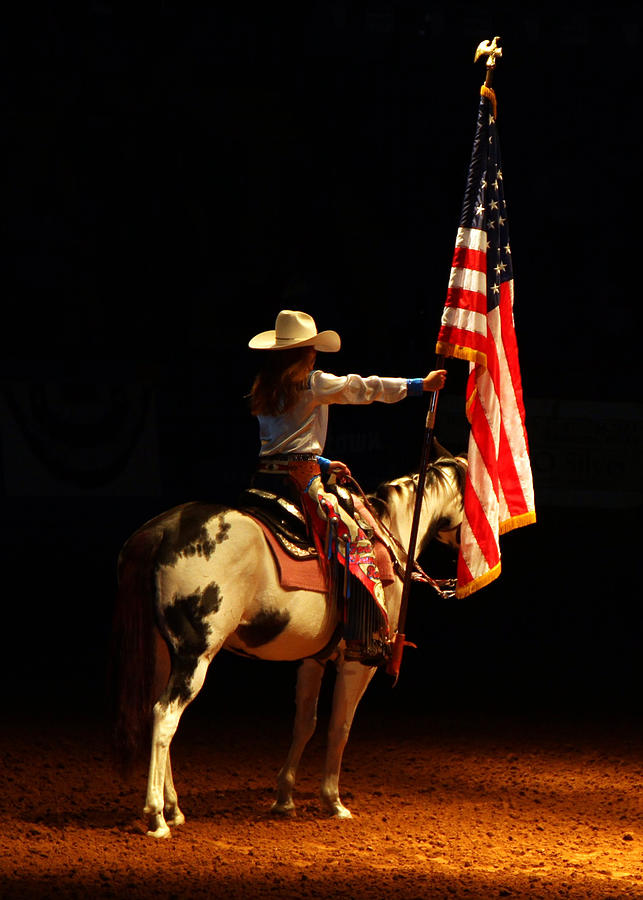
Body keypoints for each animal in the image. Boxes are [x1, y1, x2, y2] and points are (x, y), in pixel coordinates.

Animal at [110, 454, 466, 840]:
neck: (392, 534)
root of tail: (163, 530)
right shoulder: (358, 663)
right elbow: (340, 726)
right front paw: (334, 802)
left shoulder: (314, 660)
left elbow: (305, 723)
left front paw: (284, 798)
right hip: (195, 657)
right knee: (165, 716)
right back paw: (157, 817)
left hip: (164, 654)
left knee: (156, 715)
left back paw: (174, 808)